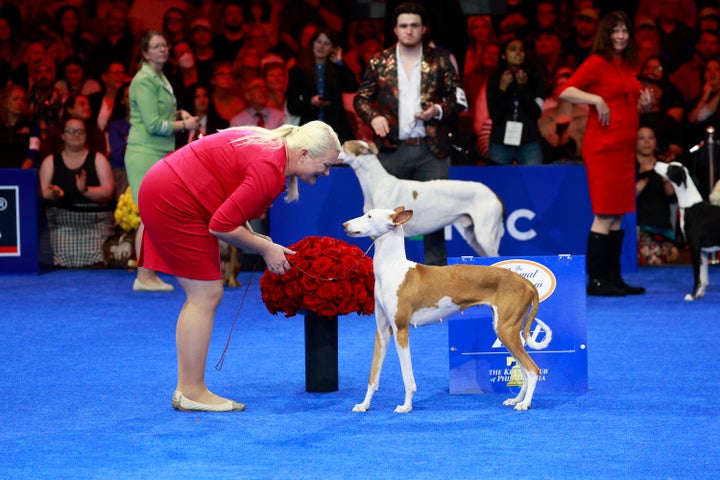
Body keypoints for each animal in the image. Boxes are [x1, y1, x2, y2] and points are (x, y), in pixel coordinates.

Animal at [338, 141, 504, 256]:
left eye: (344, 145)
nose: (335, 149)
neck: (377, 183)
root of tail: (494, 195)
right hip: (473, 237)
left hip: (485, 236)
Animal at [344, 206, 552, 412]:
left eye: (369, 216)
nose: (344, 224)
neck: (392, 269)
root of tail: (525, 281)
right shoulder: (382, 333)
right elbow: (373, 376)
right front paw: (364, 404)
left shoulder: (401, 331)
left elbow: (407, 378)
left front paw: (406, 406)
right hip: (505, 331)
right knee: (524, 371)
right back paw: (516, 400)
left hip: (506, 330)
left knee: (533, 370)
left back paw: (525, 403)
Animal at [656, 163, 720, 302]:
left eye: (670, 167)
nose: (655, 163)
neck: (690, 206)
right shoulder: (703, 252)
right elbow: (703, 278)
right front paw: (700, 294)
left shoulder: (694, 247)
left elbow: (697, 276)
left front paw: (692, 295)